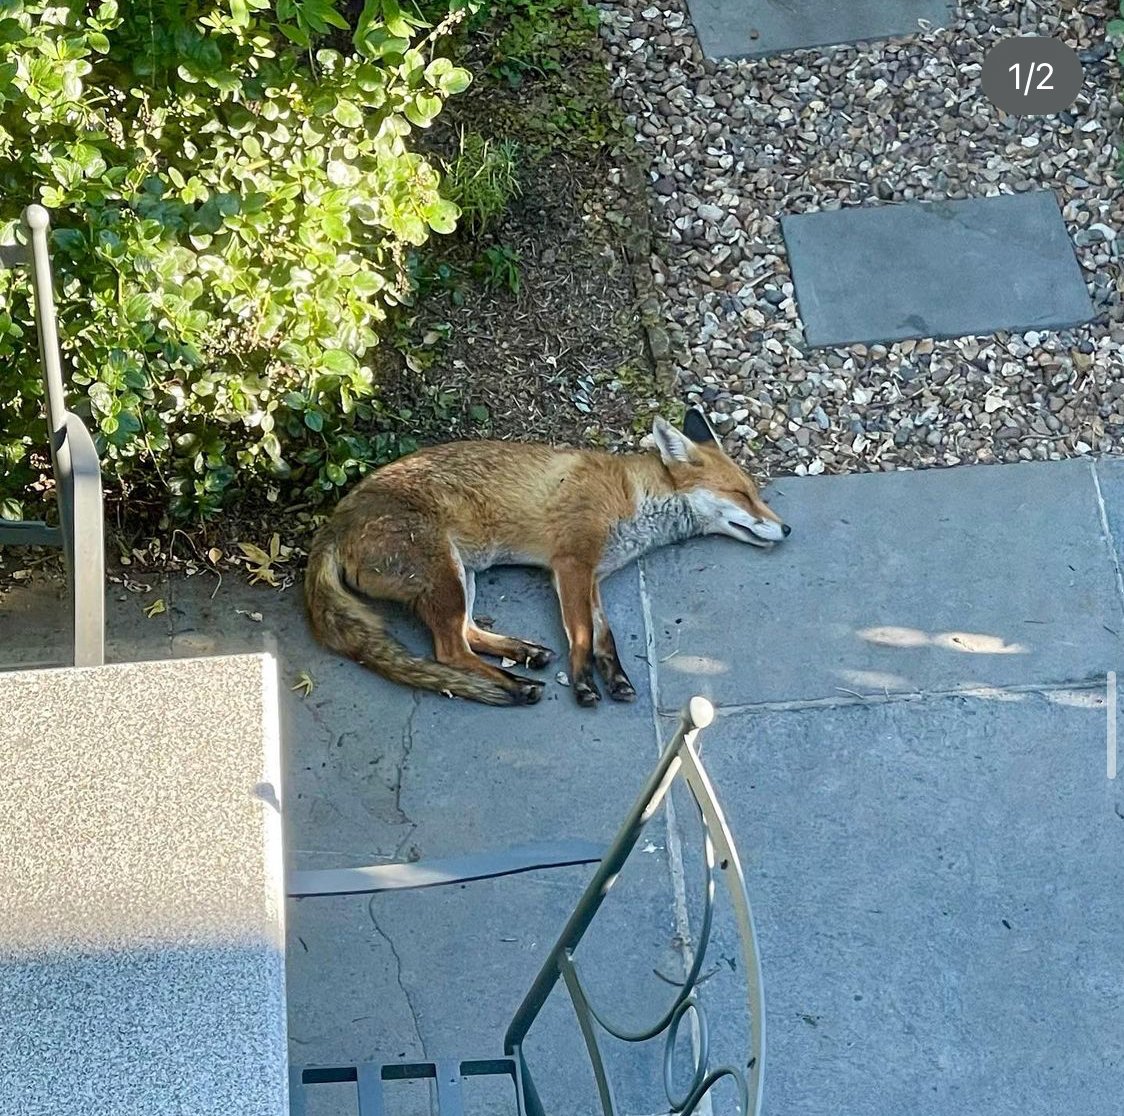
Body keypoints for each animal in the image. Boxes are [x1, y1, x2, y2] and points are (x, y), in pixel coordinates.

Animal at [304, 407, 790, 707]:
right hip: (446, 578)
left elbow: (605, 638)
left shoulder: (593, 577)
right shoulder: (571, 563)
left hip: (463, 577)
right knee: (449, 652)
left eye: (755, 493)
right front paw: (584, 686)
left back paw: (525, 655)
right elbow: (581, 636)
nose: (786, 529)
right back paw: (517, 687)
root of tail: (334, 522)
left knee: (467, 634)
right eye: (741, 494)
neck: (632, 497)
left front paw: (615, 679)